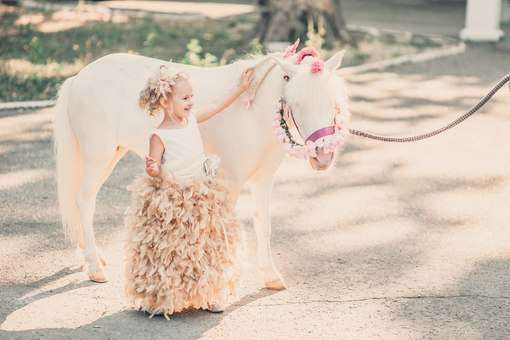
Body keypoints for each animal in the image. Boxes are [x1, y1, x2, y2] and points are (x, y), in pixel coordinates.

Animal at [52, 45, 350, 288]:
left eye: (333, 104)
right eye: (295, 103)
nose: (323, 156)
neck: (251, 112)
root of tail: (78, 78)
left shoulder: (263, 180)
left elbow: (262, 225)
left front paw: (270, 276)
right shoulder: (231, 182)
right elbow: (224, 229)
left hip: (112, 154)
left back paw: (93, 257)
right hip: (97, 157)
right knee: (84, 201)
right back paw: (94, 267)